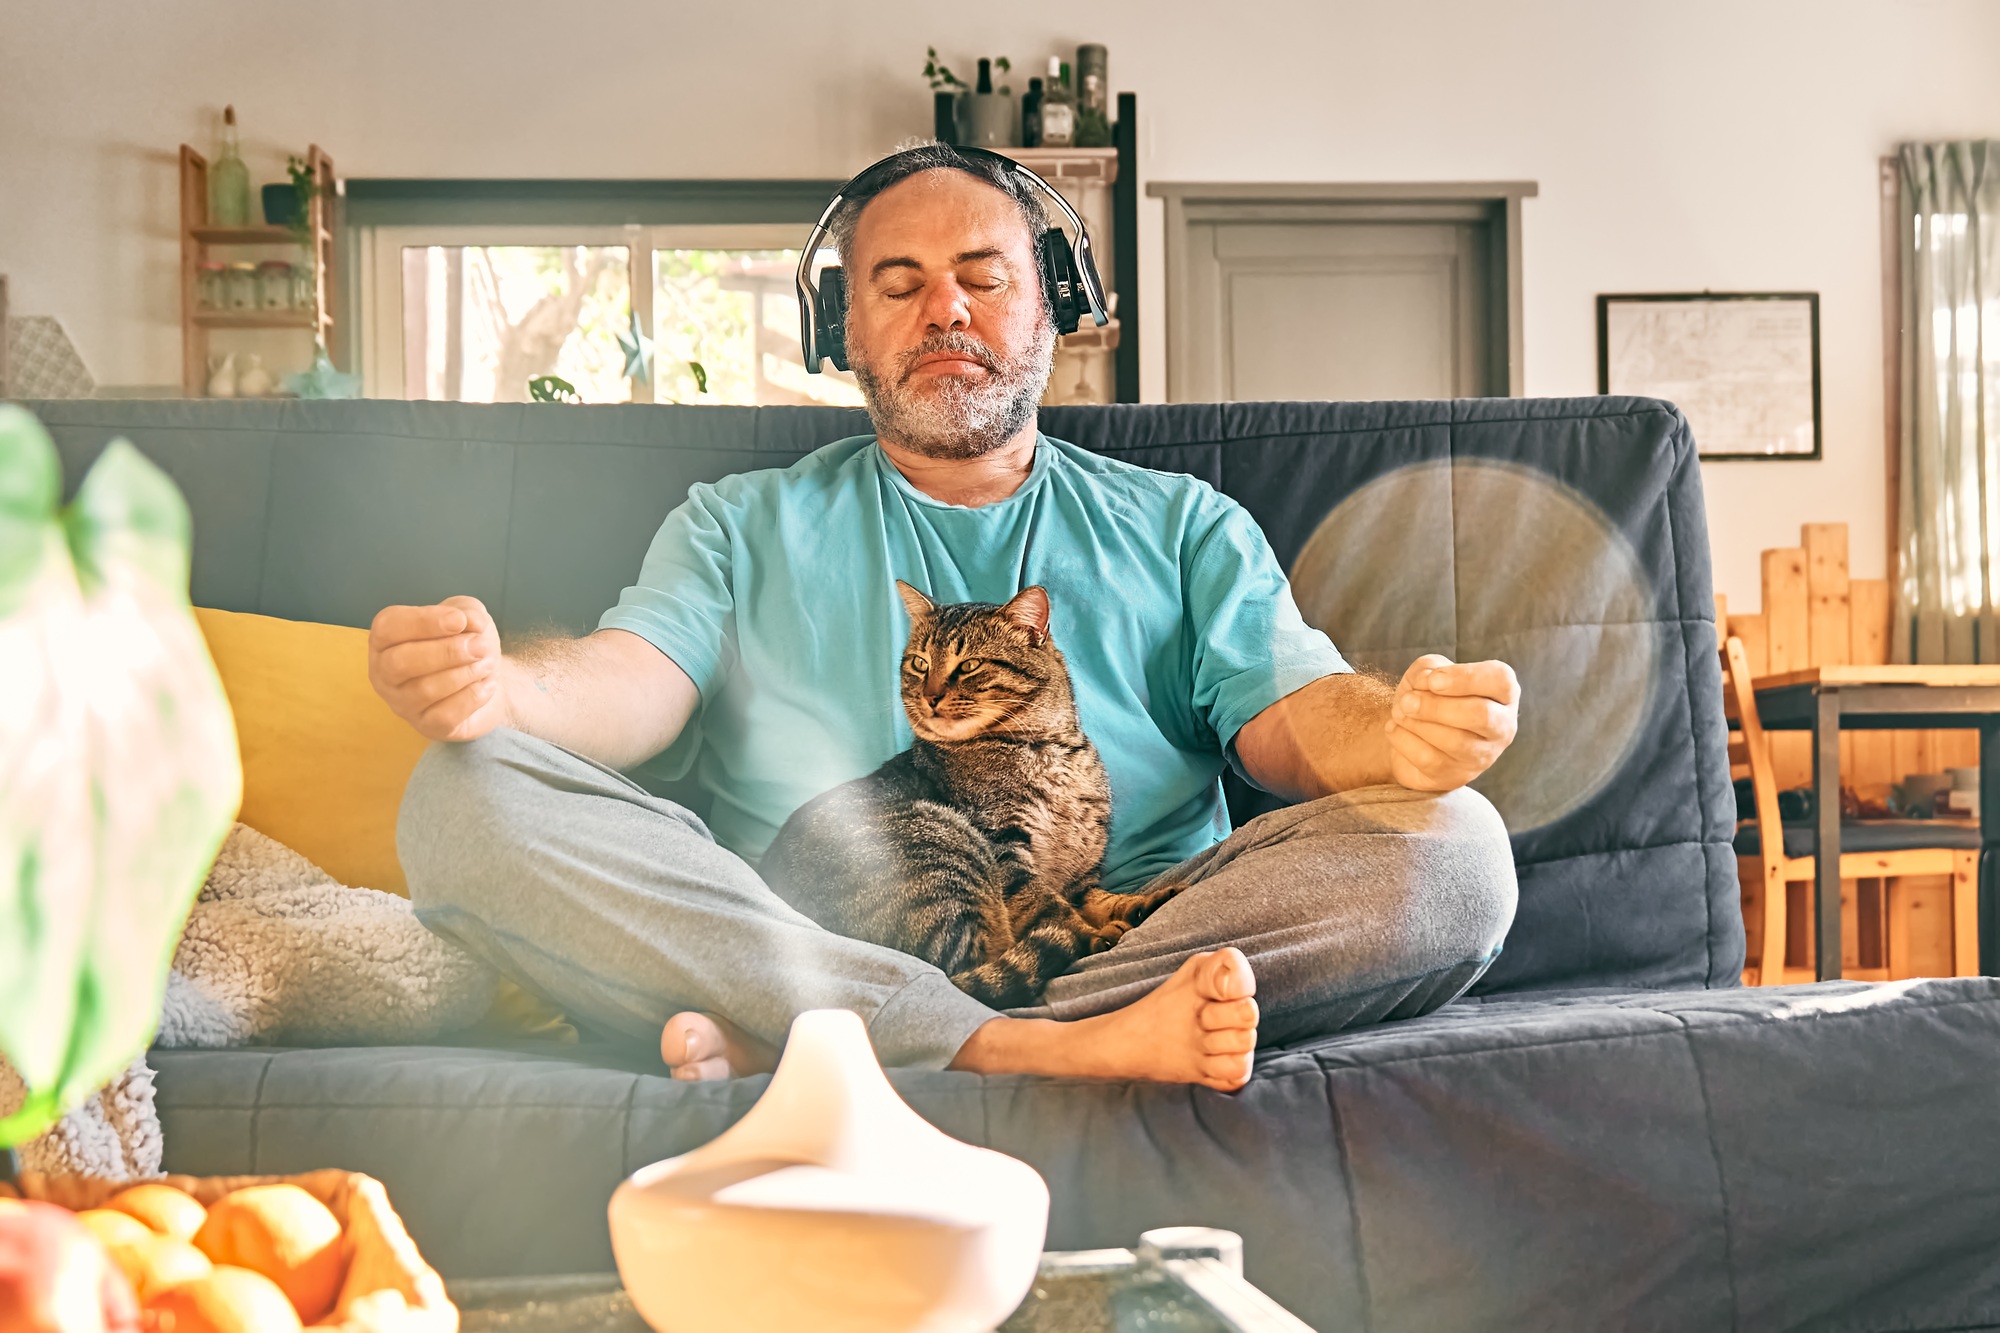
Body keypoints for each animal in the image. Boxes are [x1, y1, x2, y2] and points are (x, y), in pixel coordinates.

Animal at [760, 576, 1168, 1000]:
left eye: (969, 665)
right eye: (920, 664)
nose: (930, 695)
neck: (1051, 751)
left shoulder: (1080, 873)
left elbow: (1097, 898)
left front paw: (1137, 903)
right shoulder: (1005, 847)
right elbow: (1050, 907)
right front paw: (1094, 931)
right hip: (943, 846)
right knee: (987, 960)